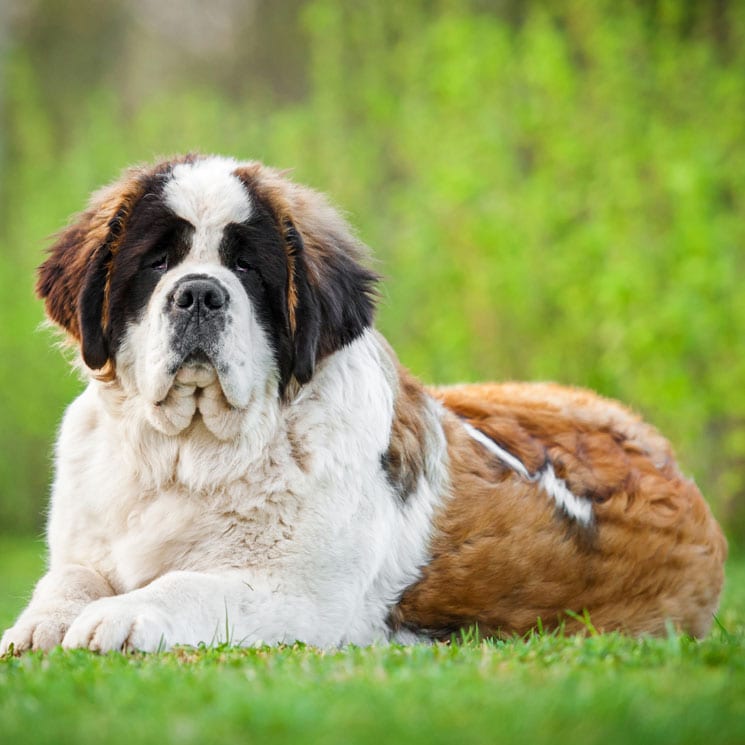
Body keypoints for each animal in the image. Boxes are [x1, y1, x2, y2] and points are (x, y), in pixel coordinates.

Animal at [0, 153, 724, 652]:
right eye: (155, 263)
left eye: (249, 269)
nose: (199, 293)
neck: (186, 455)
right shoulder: (88, 545)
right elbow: (67, 578)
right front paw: (38, 625)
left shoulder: (299, 597)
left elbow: (190, 584)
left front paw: (122, 615)